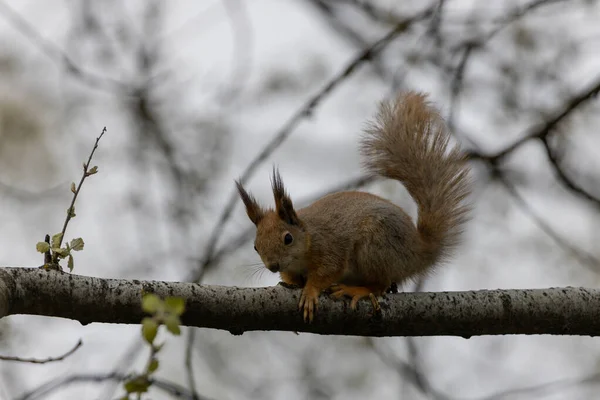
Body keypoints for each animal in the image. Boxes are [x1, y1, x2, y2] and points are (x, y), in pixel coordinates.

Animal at [237, 90, 472, 322]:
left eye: (288, 238)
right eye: (255, 246)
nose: (272, 266)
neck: (308, 239)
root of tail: (419, 250)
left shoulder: (330, 248)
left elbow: (326, 272)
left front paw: (310, 292)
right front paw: (291, 283)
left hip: (376, 247)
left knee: (379, 285)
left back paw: (356, 290)